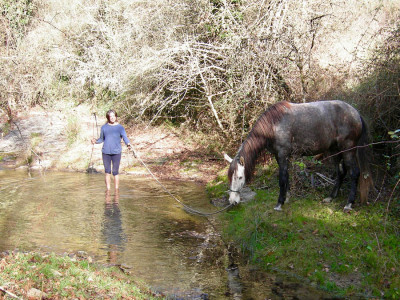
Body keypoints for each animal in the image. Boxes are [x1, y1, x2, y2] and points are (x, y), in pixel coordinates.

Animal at [223, 100, 374, 211]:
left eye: (240, 177)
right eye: (230, 177)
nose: (232, 201)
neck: (274, 125)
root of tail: (356, 113)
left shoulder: (282, 154)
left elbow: (282, 178)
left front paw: (279, 203)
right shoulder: (280, 156)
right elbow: (286, 176)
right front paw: (287, 198)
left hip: (348, 151)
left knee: (354, 173)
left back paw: (349, 204)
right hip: (335, 151)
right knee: (341, 172)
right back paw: (331, 197)